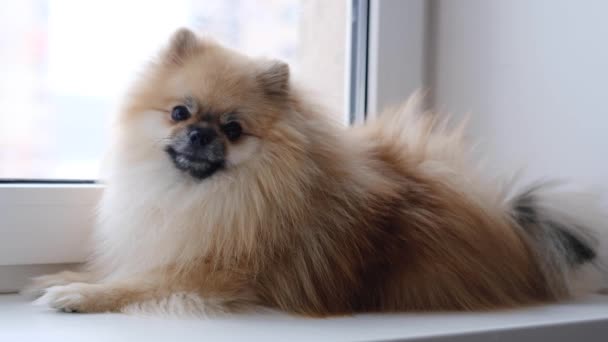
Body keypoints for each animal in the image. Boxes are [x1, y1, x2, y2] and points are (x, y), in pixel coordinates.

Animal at [22, 28, 604, 316]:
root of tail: (510, 225)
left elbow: (138, 282)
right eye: (180, 112)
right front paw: (64, 276)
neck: (212, 195)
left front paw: (81, 295)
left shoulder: (217, 271)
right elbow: (122, 268)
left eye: (233, 128)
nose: (202, 134)